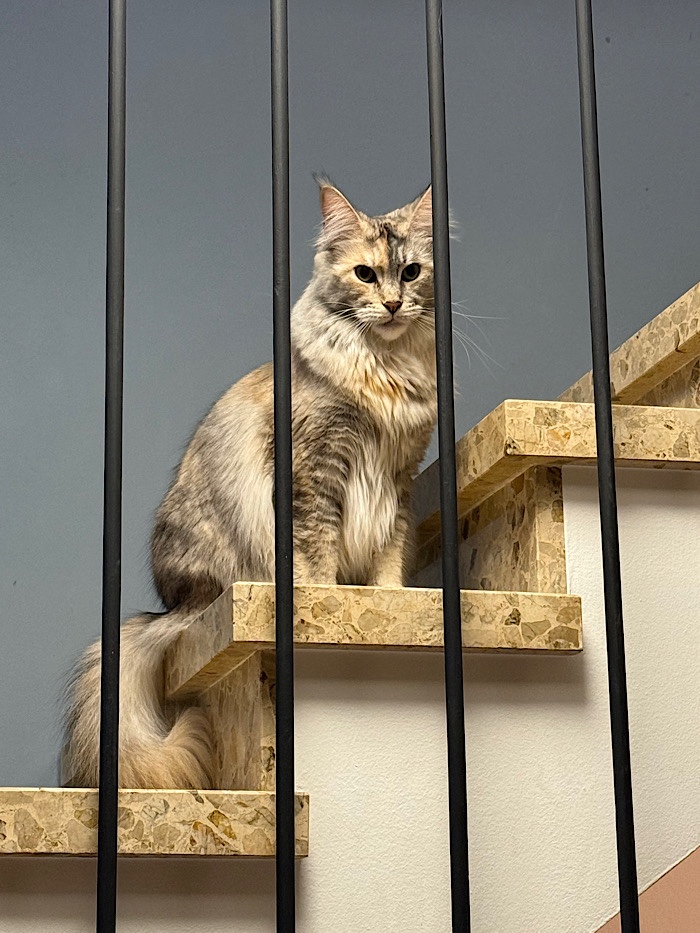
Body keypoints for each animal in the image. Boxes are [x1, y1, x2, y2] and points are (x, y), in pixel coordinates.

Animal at [63, 180, 438, 789]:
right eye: (364, 274)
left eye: (410, 273)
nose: (391, 304)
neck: (386, 373)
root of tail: (179, 605)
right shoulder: (315, 470)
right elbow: (317, 555)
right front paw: (330, 601)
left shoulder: (398, 479)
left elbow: (388, 556)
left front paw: (391, 601)